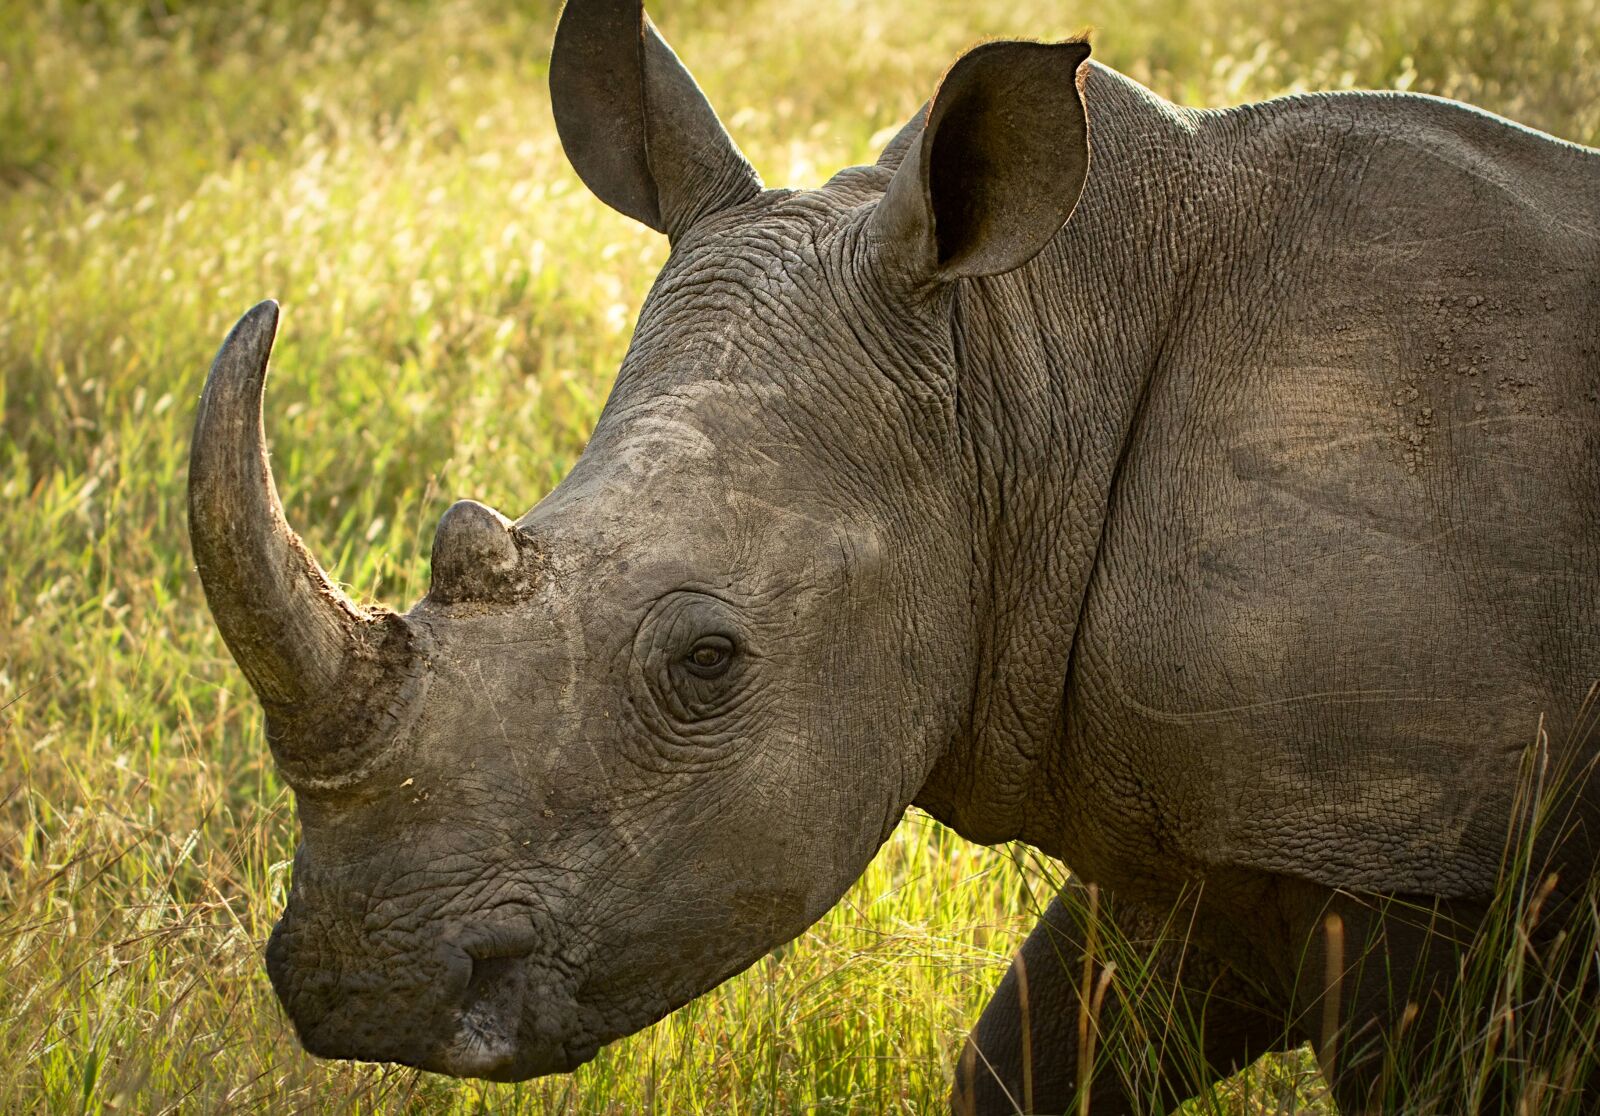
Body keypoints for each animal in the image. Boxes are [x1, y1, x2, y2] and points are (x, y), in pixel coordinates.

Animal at [187, 0, 1600, 1110]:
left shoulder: (1400, 849)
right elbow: (1026, 1064)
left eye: (708, 661)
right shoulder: (1189, 838)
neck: (1022, 365)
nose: (355, 983)